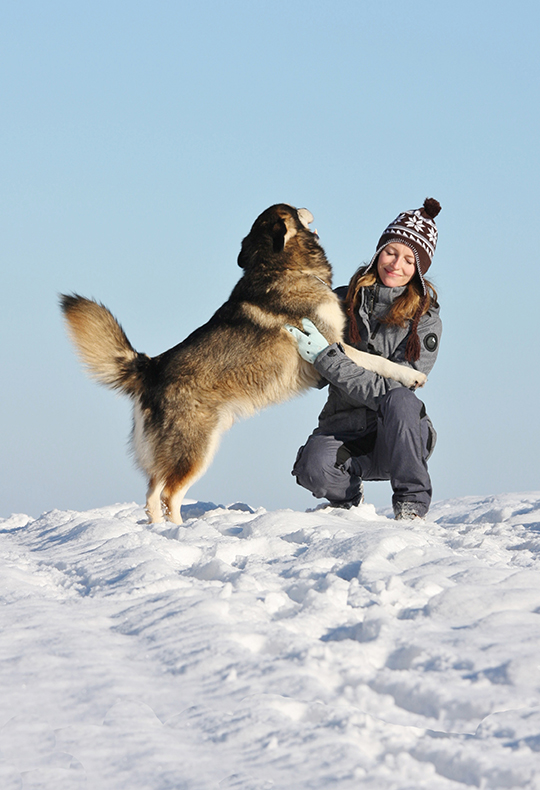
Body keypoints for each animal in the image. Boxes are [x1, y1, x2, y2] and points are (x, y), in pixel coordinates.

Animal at [62, 204, 426, 524]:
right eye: (292, 206)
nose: (307, 206)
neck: (282, 267)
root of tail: (151, 366)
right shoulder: (330, 344)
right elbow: (373, 359)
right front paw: (410, 374)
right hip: (196, 449)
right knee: (169, 495)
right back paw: (181, 532)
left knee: (153, 495)